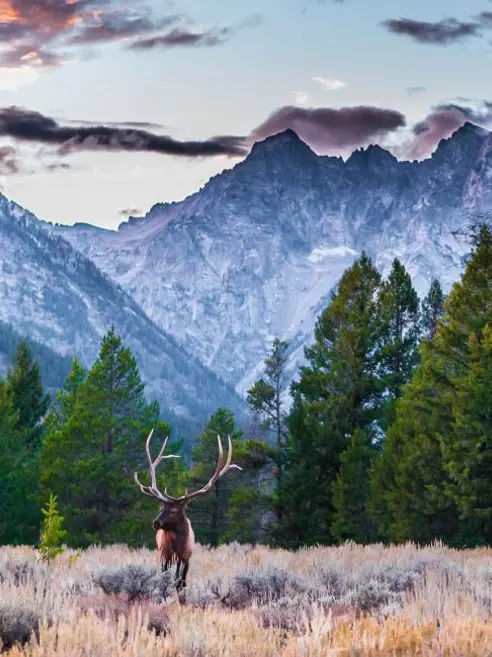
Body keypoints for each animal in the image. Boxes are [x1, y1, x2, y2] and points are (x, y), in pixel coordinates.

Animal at [134, 429, 242, 591]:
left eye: (173, 510)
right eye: (161, 507)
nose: (156, 523)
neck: (178, 547)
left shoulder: (186, 559)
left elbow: (182, 583)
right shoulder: (165, 556)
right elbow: (167, 580)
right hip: (162, 555)